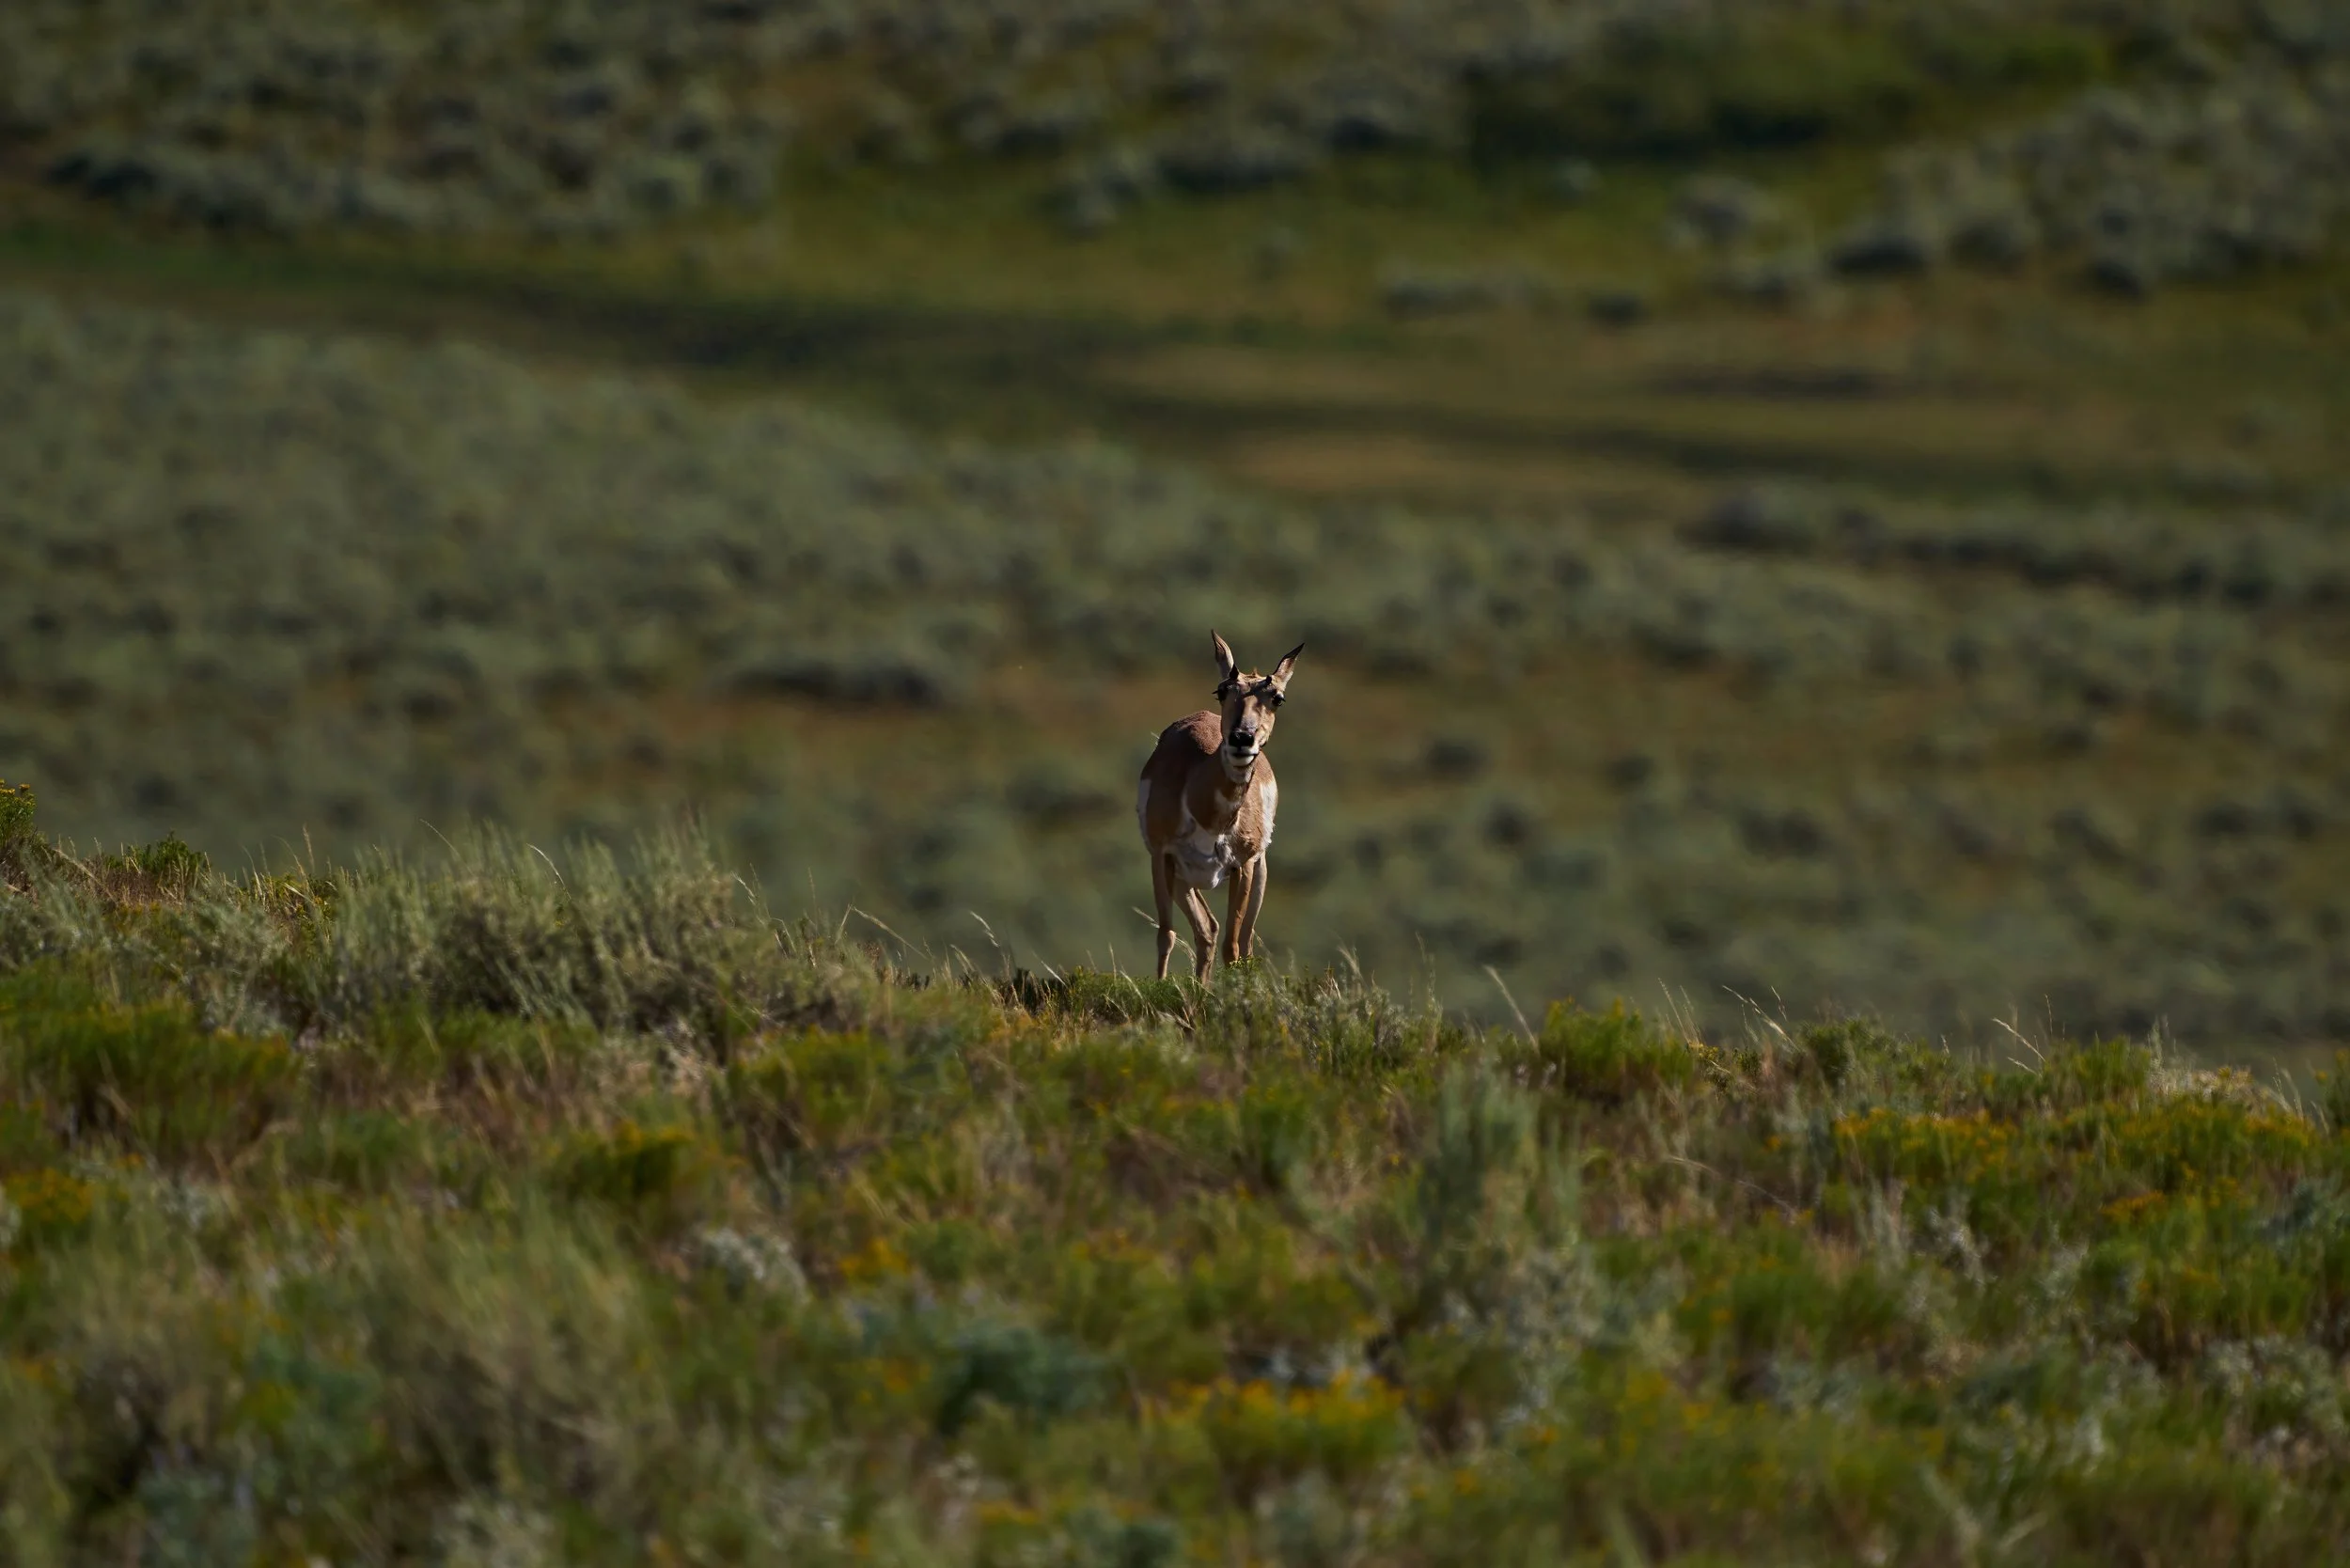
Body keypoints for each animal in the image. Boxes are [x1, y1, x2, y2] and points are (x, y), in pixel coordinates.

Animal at [1136, 632, 1303, 981]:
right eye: (1222, 690)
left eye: (1277, 698)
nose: (1242, 739)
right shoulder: (1162, 858)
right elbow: (1166, 935)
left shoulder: (1243, 866)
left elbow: (1233, 947)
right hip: (1183, 879)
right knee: (1206, 930)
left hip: (1259, 871)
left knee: (1237, 939)